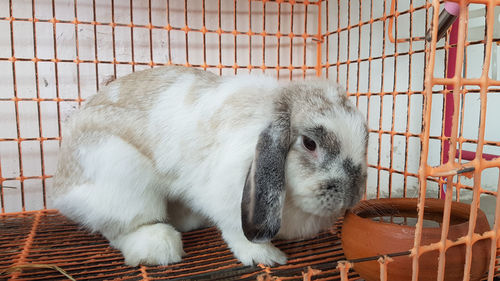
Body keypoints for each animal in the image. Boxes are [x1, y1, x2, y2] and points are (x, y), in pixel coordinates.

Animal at [50, 65, 370, 264]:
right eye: (309, 143)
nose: (352, 195)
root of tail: (60, 185)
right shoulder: (228, 197)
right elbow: (238, 234)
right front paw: (265, 257)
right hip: (121, 174)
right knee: (120, 228)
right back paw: (159, 247)